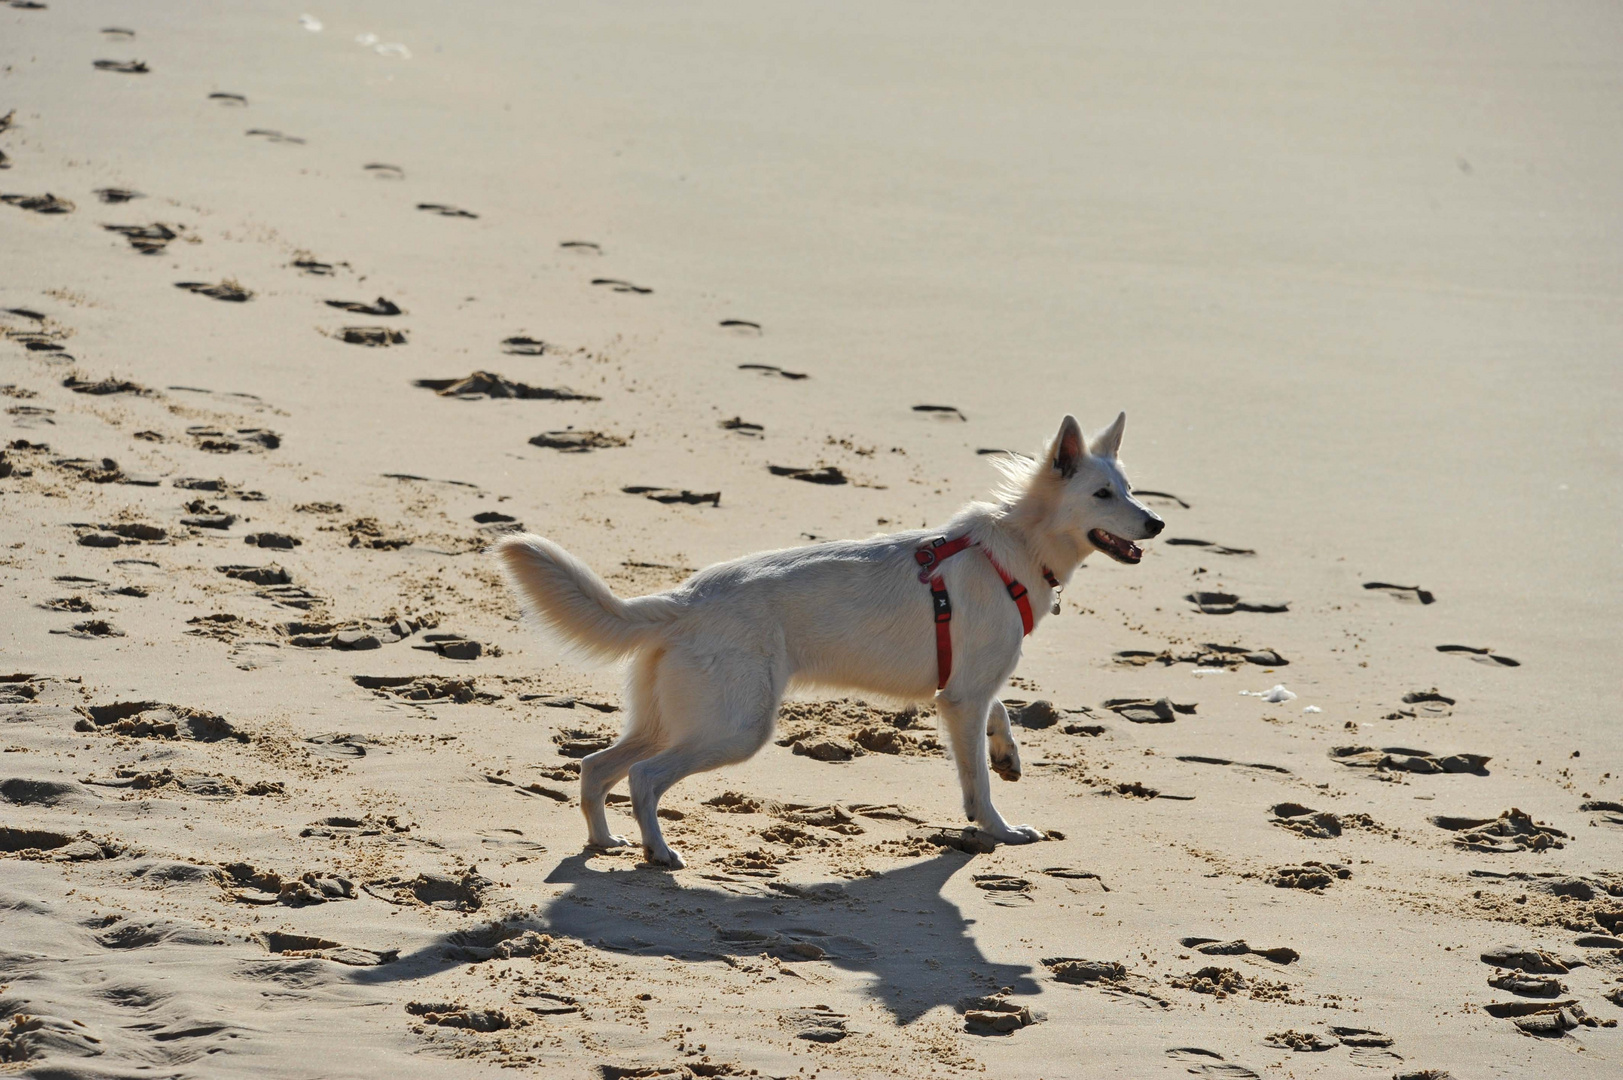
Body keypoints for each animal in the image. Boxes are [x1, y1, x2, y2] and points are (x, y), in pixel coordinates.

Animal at [496, 414, 1168, 870]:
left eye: (1130, 488)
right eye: (1103, 496)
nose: (1159, 523)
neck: (1013, 548)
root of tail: (684, 600)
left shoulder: (963, 691)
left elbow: (998, 719)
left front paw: (1008, 756)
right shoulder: (962, 699)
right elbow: (976, 780)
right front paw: (999, 830)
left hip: (674, 718)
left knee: (594, 766)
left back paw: (604, 841)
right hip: (735, 728)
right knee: (642, 778)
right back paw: (659, 852)